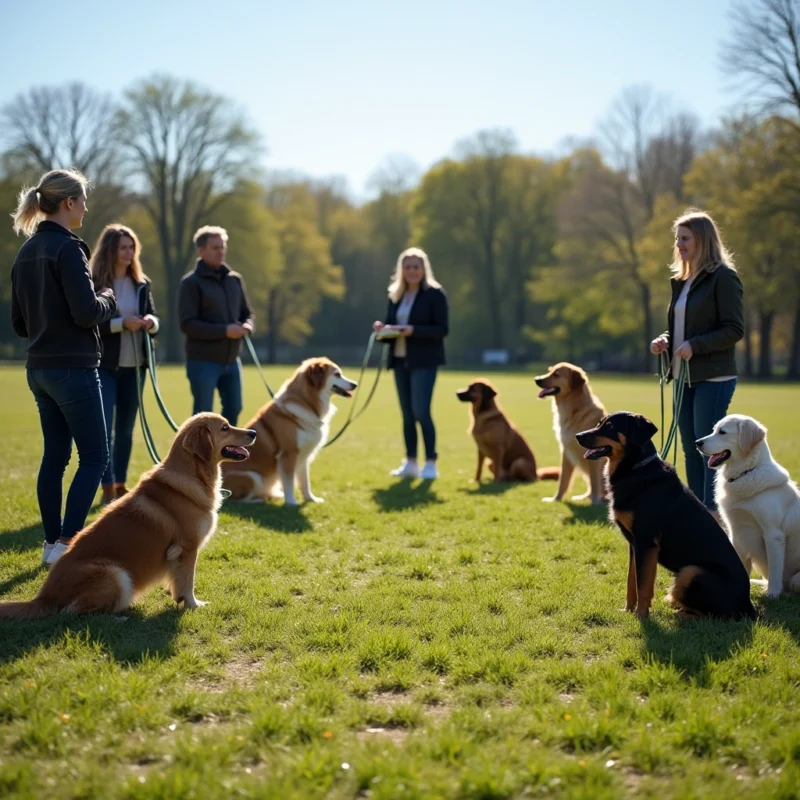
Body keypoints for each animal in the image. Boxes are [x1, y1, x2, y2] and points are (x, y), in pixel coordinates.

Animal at [576, 410, 756, 620]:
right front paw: (628, 610)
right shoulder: (634, 545)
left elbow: (643, 585)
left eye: (611, 426)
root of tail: (748, 606)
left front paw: (641, 617)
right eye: (599, 423)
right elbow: (631, 581)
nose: (578, 436)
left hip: (691, 571)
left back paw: (680, 613)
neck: (636, 469)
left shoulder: (646, 543)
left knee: (713, 616)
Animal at [692, 416, 800, 596]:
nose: (697, 442)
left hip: (795, 580)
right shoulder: (737, 532)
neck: (747, 473)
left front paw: (773, 594)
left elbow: (775, 568)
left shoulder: (773, 534)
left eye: (722, 432)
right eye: (714, 430)